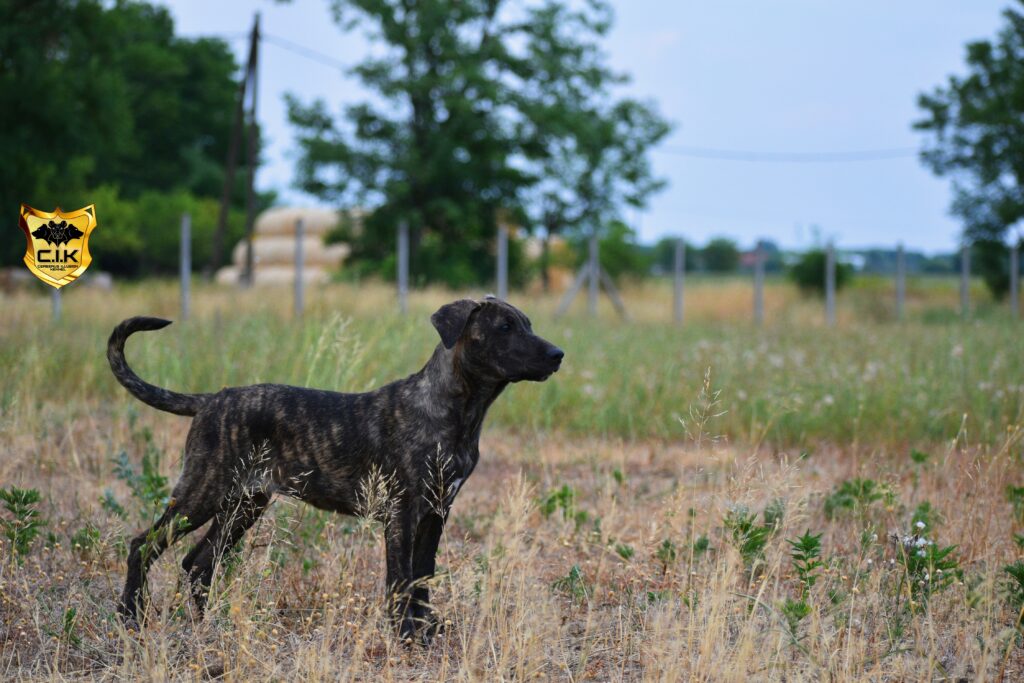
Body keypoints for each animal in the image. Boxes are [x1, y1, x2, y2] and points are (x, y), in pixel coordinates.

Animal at [108, 296, 565, 643]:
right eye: (505, 327)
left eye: (526, 323)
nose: (558, 355)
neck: (458, 411)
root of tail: (209, 401)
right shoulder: (402, 513)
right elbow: (399, 580)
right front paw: (404, 635)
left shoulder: (436, 513)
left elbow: (423, 577)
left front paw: (424, 630)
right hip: (202, 492)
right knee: (143, 546)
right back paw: (131, 617)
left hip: (244, 504)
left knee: (198, 563)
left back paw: (208, 625)